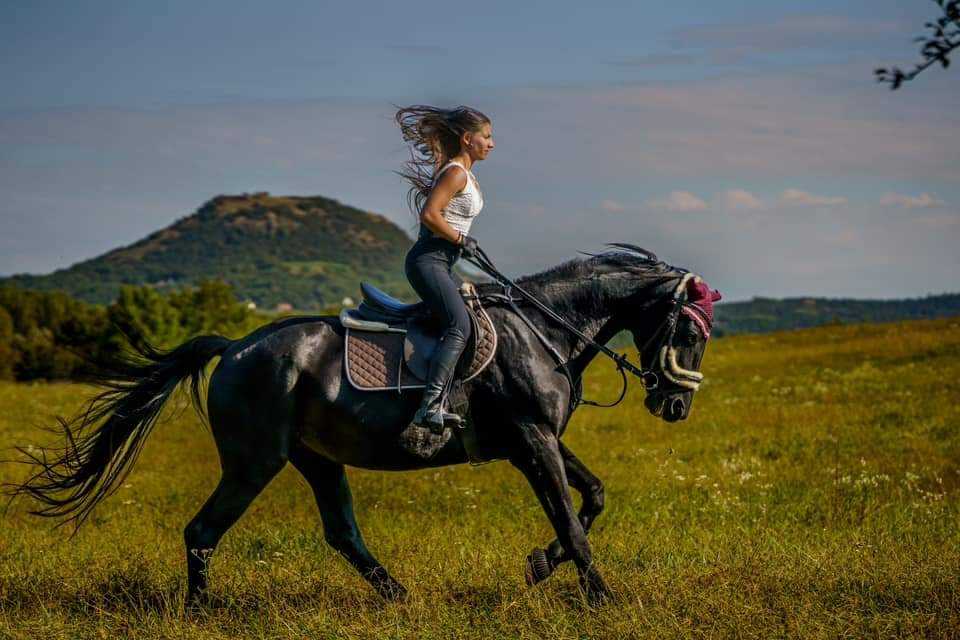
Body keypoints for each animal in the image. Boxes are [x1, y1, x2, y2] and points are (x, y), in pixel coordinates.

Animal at [9, 244, 712, 604]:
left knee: (341, 533)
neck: (543, 330)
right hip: (255, 460)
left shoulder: (539, 441)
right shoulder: (532, 440)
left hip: (316, 458)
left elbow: (592, 498)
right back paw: (201, 612)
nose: (675, 407)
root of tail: (235, 346)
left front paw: (539, 567)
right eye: (688, 330)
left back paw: (399, 595)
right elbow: (570, 518)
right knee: (202, 530)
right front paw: (601, 596)